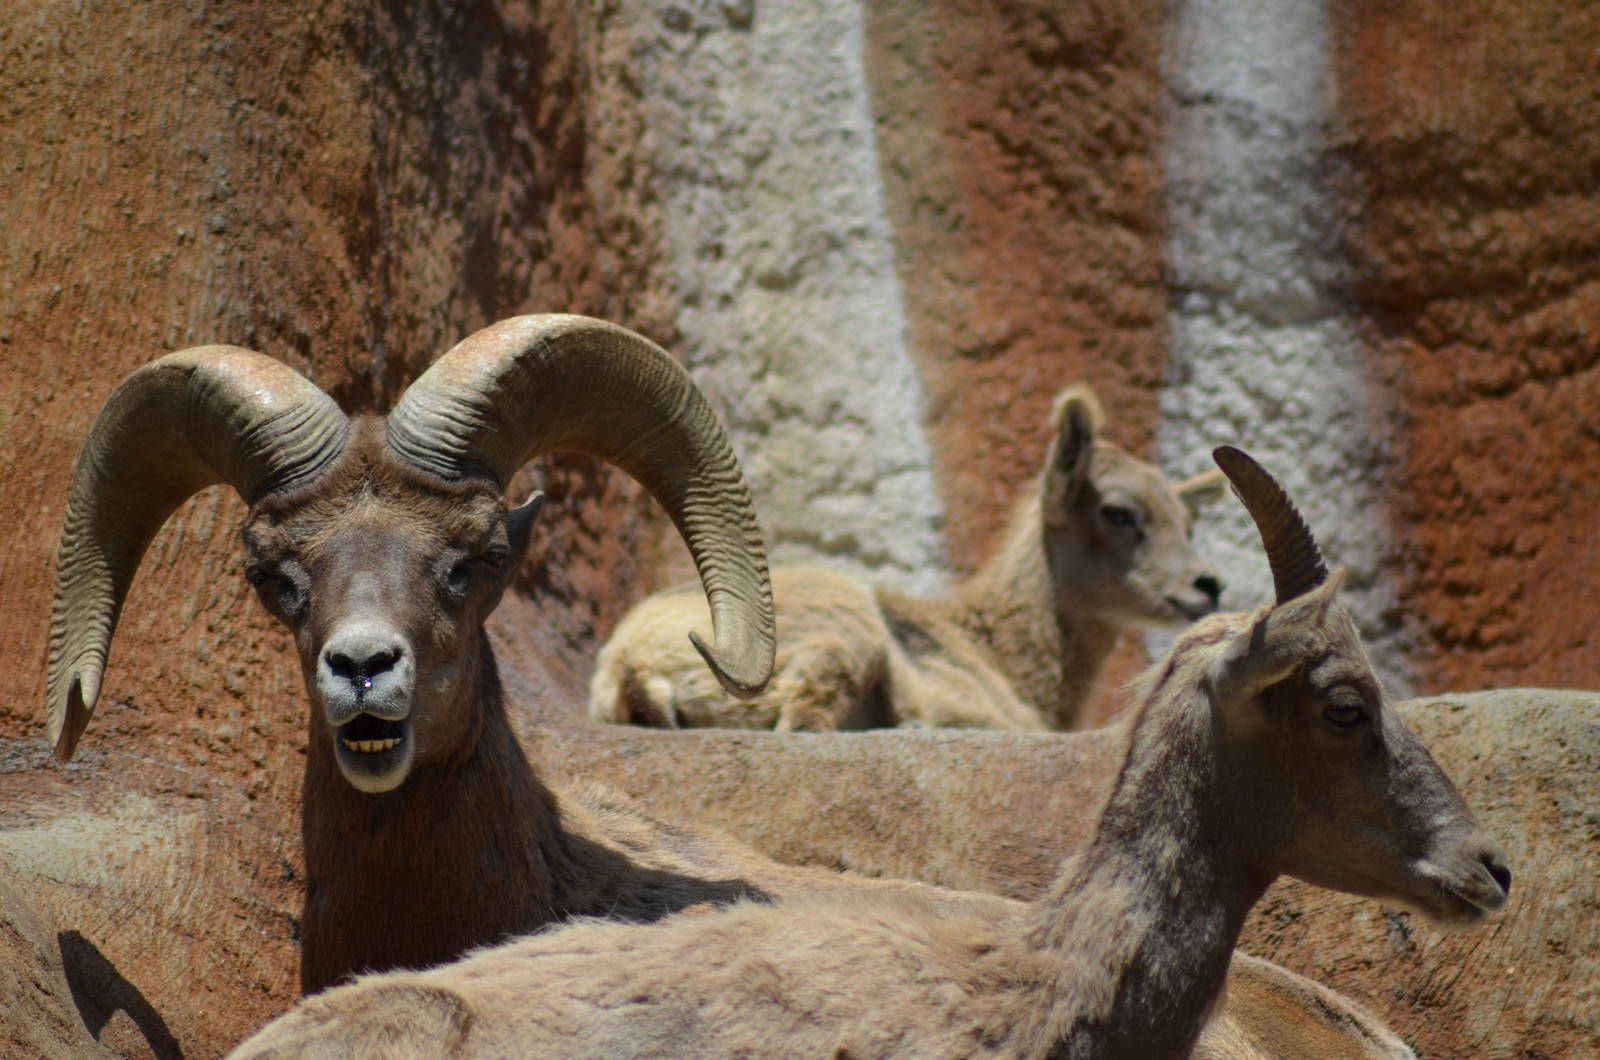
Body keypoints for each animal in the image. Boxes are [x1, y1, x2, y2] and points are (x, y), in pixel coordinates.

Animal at [589, 384, 1228, 733]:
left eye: (1189, 521)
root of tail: (631, 665)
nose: (1207, 585)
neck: (1000, 654)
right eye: (1117, 512)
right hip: (846, 641)